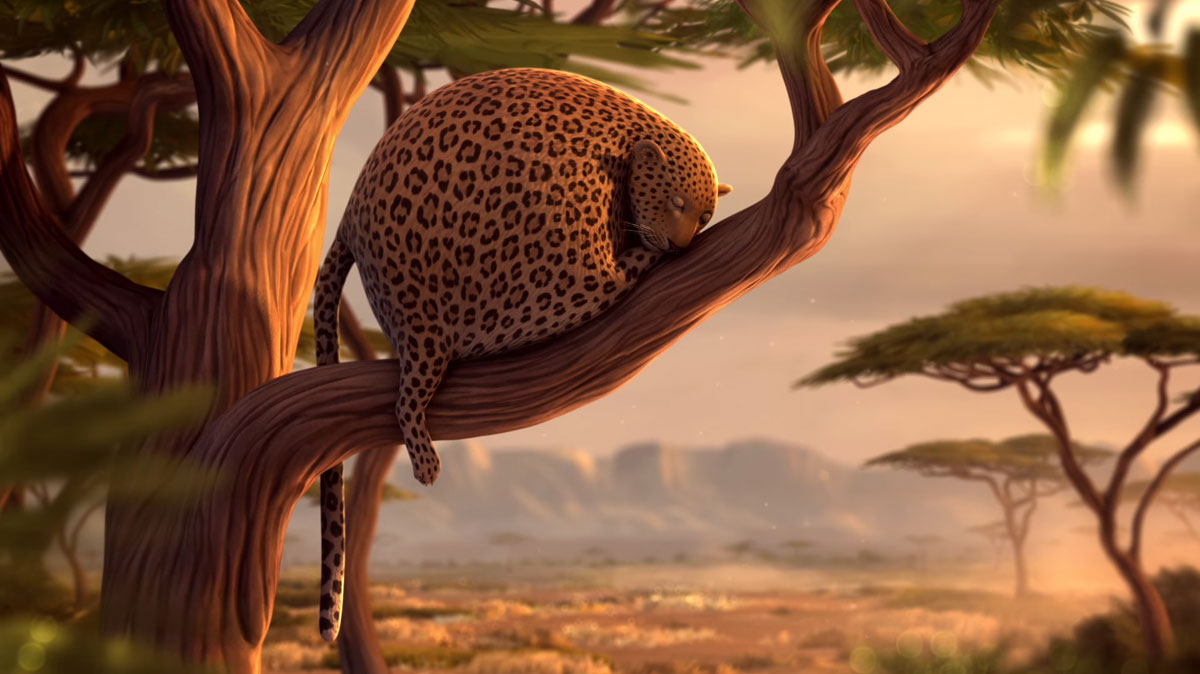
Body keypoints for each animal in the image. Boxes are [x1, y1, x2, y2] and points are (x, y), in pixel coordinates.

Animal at [310, 67, 731, 641]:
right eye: (676, 204)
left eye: (705, 213)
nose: (680, 246)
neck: (622, 157)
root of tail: (348, 216)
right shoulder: (574, 265)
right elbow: (614, 269)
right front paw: (644, 252)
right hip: (425, 318)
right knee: (406, 395)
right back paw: (426, 461)